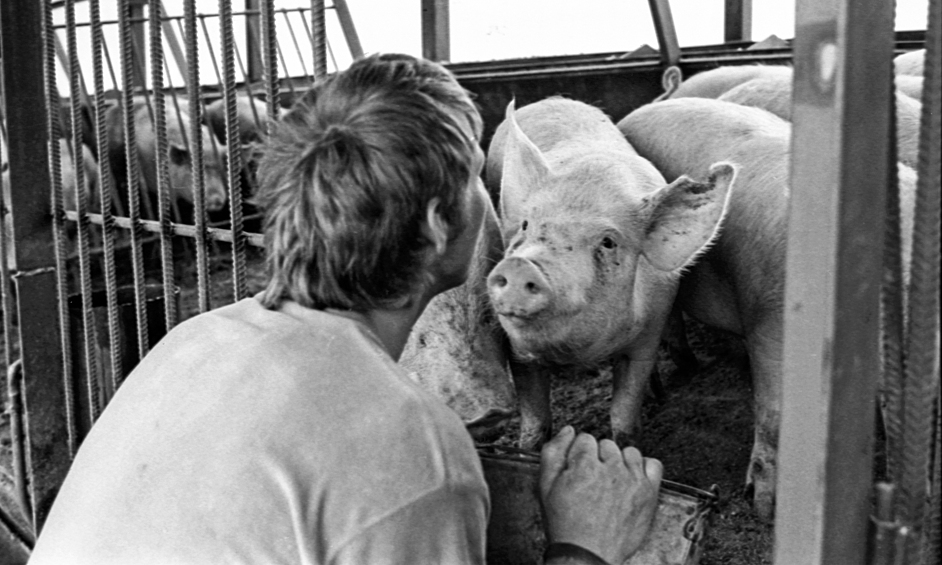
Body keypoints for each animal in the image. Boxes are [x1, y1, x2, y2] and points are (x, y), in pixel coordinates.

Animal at [486, 96, 736, 450]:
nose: (522, 264)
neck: (582, 354)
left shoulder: (647, 334)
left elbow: (624, 415)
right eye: (525, 225)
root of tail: (552, 99)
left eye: (608, 242)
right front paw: (528, 449)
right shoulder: (519, 352)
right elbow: (535, 420)